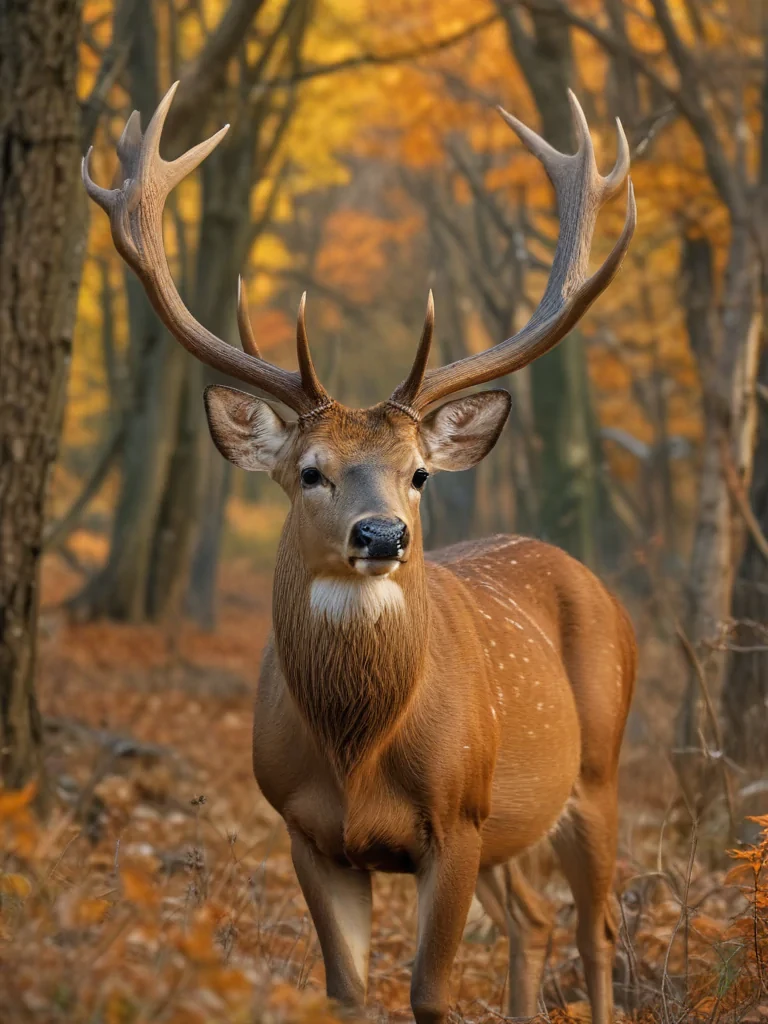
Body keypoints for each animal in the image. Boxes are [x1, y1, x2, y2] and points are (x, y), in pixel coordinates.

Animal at [84, 82, 637, 1024]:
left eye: (419, 473)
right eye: (310, 471)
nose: (382, 535)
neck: (358, 754)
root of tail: (600, 588)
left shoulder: (455, 820)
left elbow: (430, 996)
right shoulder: (307, 830)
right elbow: (344, 992)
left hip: (596, 770)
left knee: (595, 929)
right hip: (515, 826)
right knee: (535, 919)